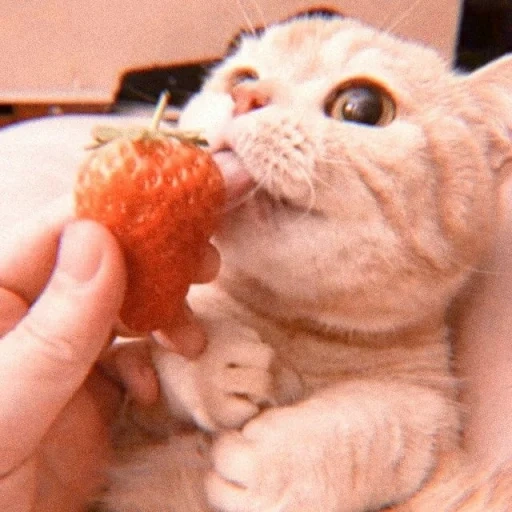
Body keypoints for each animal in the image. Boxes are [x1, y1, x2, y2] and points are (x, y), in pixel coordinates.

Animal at [93, 14, 512, 510]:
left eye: (362, 106)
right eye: (242, 79)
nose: (247, 97)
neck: (291, 327)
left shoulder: (435, 413)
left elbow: (385, 422)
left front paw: (277, 461)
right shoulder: (122, 412)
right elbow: (152, 341)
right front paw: (210, 358)